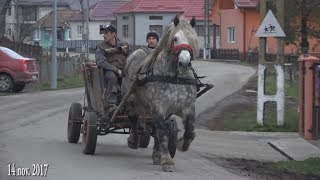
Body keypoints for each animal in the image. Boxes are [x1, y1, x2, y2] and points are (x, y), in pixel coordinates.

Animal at [122, 15, 199, 172]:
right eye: (175, 38)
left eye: (192, 38)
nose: (184, 62)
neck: (176, 78)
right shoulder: (159, 106)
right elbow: (162, 132)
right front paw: (167, 161)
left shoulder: (187, 106)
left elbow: (190, 130)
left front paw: (181, 144)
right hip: (132, 99)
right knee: (134, 118)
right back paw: (134, 140)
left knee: (154, 126)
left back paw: (156, 154)